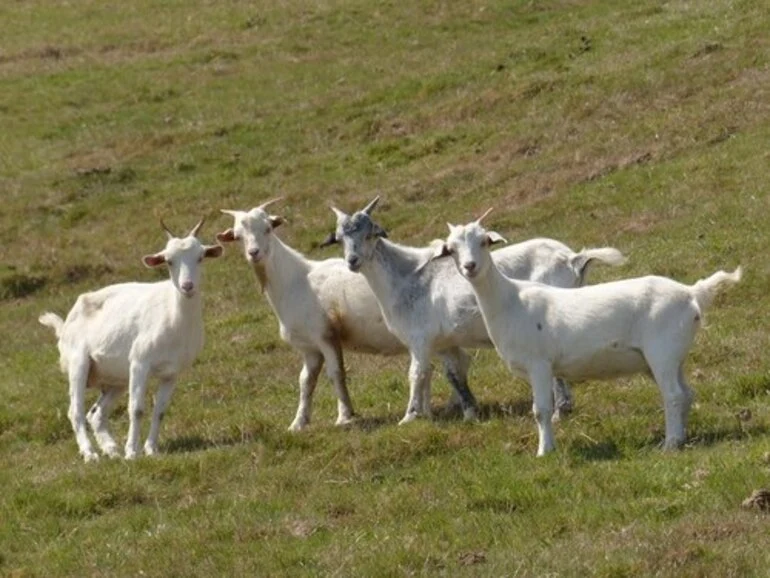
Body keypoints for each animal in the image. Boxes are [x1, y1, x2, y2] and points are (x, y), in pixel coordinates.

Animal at [39, 219, 223, 462]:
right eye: (169, 261)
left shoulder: (171, 373)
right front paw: (132, 452)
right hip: (79, 363)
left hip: (116, 379)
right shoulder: (139, 363)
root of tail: (65, 324)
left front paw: (151, 449)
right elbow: (136, 409)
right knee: (75, 412)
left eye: (201, 257)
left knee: (96, 413)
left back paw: (111, 449)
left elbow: (160, 411)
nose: (187, 286)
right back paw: (91, 454)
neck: (174, 317)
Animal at [327, 196, 627, 425]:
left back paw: (559, 411)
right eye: (341, 238)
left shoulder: (419, 339)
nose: (352, 261)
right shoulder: (443, 342)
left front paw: (409, 417)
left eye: (369, 235)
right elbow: (453, 373)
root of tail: (573, 258)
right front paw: (470, 412)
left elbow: (416, 373)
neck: (408, 277)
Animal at [432, 210, 741, 455]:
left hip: (662, 352)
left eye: (484, 241)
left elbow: (541, 411)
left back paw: (670, 444)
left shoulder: (539, 364)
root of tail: (692, 293)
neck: (510, 300)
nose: (470, 267)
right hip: (671, 357)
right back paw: (683, 437)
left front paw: (545, 451)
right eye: (452, 249)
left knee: (674, 396)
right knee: (686, 394)